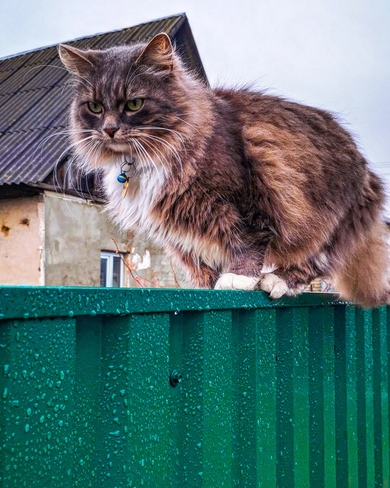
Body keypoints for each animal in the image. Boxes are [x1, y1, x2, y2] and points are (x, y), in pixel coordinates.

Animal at [58, 34, 390, 306]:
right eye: (95, 107)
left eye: (134, 104)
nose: (109, 129)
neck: (142, 158)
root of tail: (367, 169)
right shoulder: (177, 227)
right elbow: (196, 261)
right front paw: (204, 285)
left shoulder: (247, 194)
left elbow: (248, 240)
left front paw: (238, 278)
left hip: (329, 223)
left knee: (317, 261)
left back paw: (276, 280)